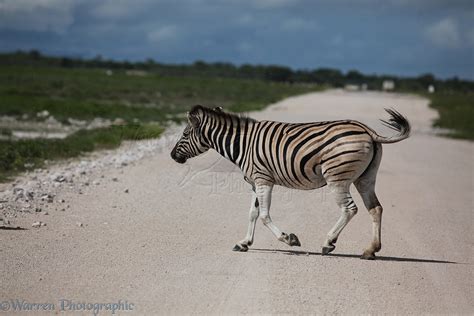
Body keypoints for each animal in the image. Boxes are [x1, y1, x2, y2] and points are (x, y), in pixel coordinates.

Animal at [171, 105, 412, 260]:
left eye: (185, 134)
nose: (173, 156)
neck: (243, 144)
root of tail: (367, 130)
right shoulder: (255, 182)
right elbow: (252, 214)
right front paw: (244, 243)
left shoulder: (263, 179)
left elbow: (265, 215)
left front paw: (289, 239)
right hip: (365, 178)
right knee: (375, 209)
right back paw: (371, 250)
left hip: (337, 178)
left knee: (350, 209)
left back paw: (328, 243)